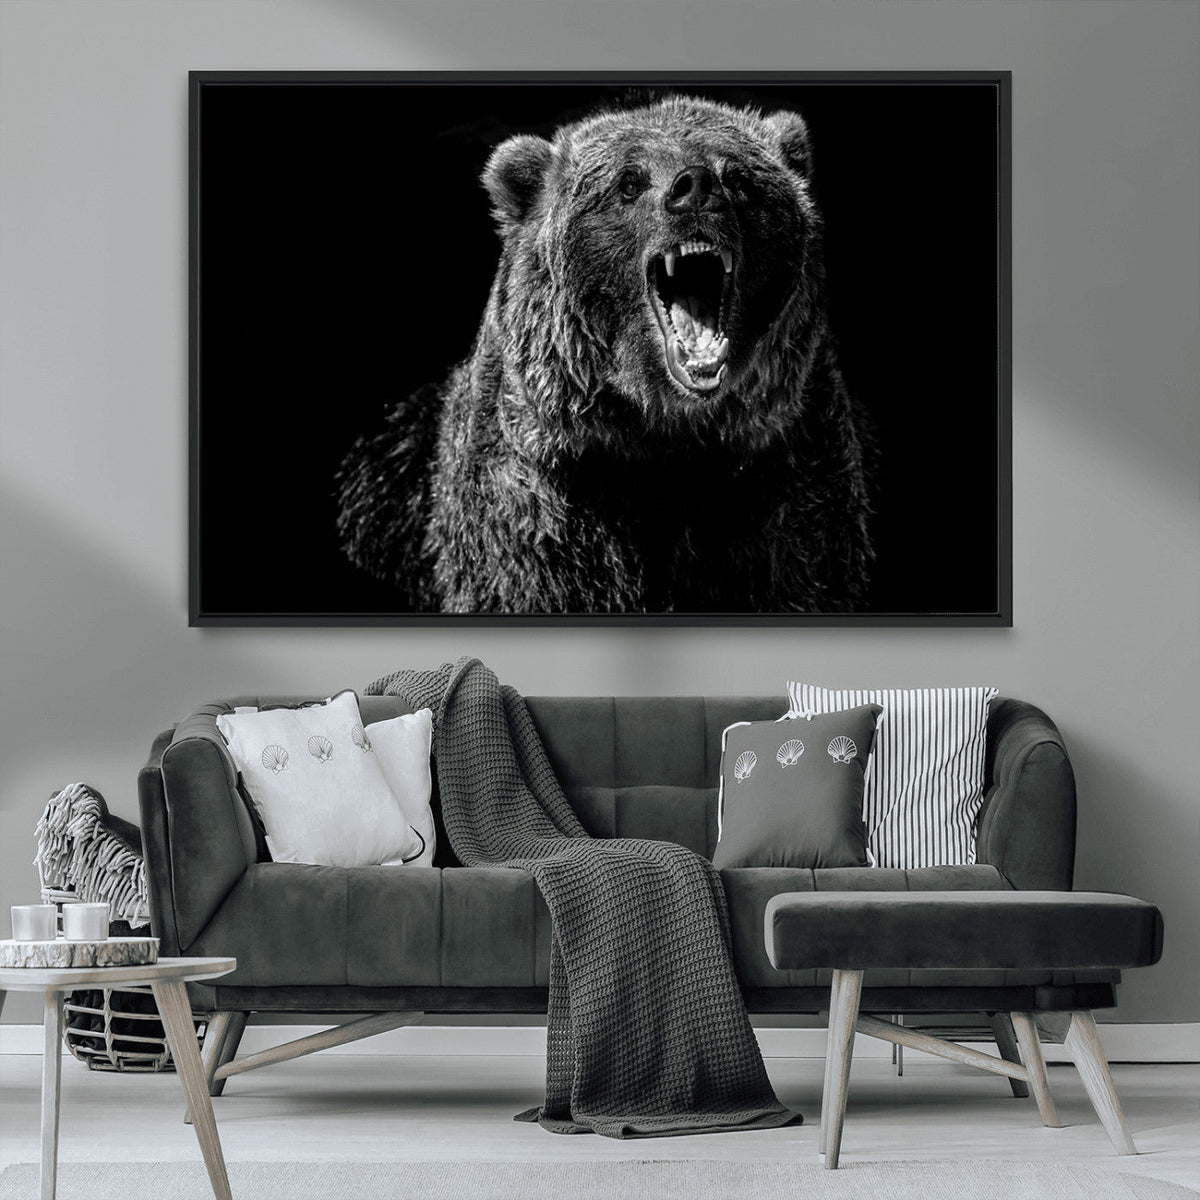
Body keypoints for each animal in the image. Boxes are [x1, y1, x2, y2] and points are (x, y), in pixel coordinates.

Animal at [336, 95, 874, 614]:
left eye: (738, 176)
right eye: (628, 182)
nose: (695, 187)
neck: (664, 433)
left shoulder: (784, 483)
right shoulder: (544, 504)